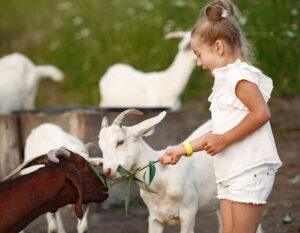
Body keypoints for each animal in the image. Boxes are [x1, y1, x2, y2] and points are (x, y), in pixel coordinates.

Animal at [98, 109, 262, 233]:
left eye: (120, 142)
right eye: (101, 146)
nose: (108, 170)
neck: (161, 180)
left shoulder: (188, 214)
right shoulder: (155, 218)